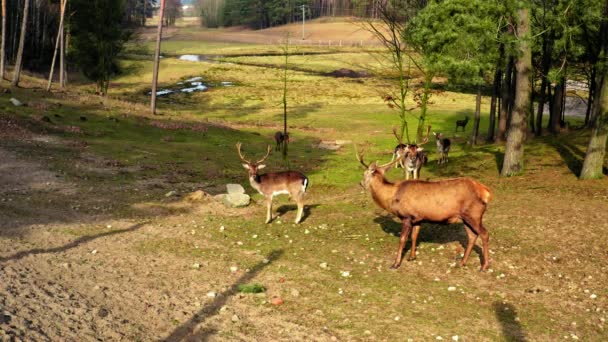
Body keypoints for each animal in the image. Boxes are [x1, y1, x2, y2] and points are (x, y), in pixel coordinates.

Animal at [356, 151, 494, 272]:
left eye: (364, 173)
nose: (360, 183)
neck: (391, 197)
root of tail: (486, 192)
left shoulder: (406, 216)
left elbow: (402, 239)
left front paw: (395, 264)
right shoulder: (417, 218)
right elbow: (414, 236)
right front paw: (412, 257)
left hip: (474, 214)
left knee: (484, 234)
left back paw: (484, 266)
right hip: (465, 217)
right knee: (472, 236)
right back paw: (462, 262)